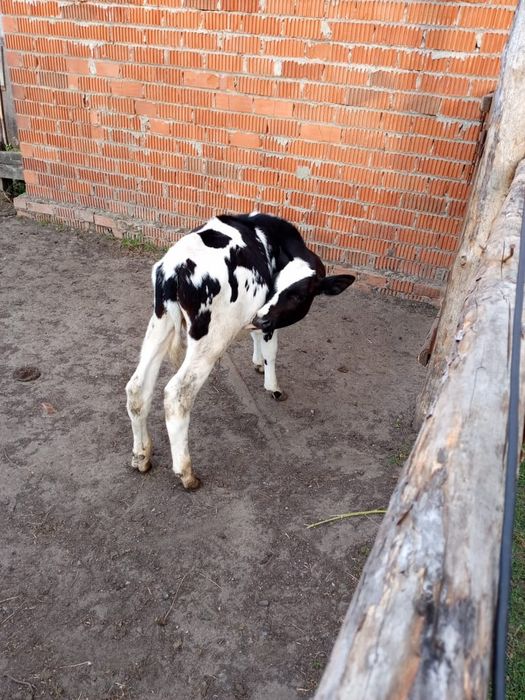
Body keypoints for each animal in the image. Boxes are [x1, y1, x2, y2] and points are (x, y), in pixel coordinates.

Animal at [126, 213, 355, 489]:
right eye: (276, 287)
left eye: (299, 295)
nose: (262, 318)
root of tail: (173, 267)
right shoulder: (266, 318)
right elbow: (271, 350)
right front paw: (273, 387)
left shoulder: (257, 312)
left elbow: (257, 338)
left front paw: (256, 362)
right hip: (210, 340)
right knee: (177, 394)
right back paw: (187, 474)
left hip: (160, 322)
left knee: (137, 387)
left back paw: (141, 456)